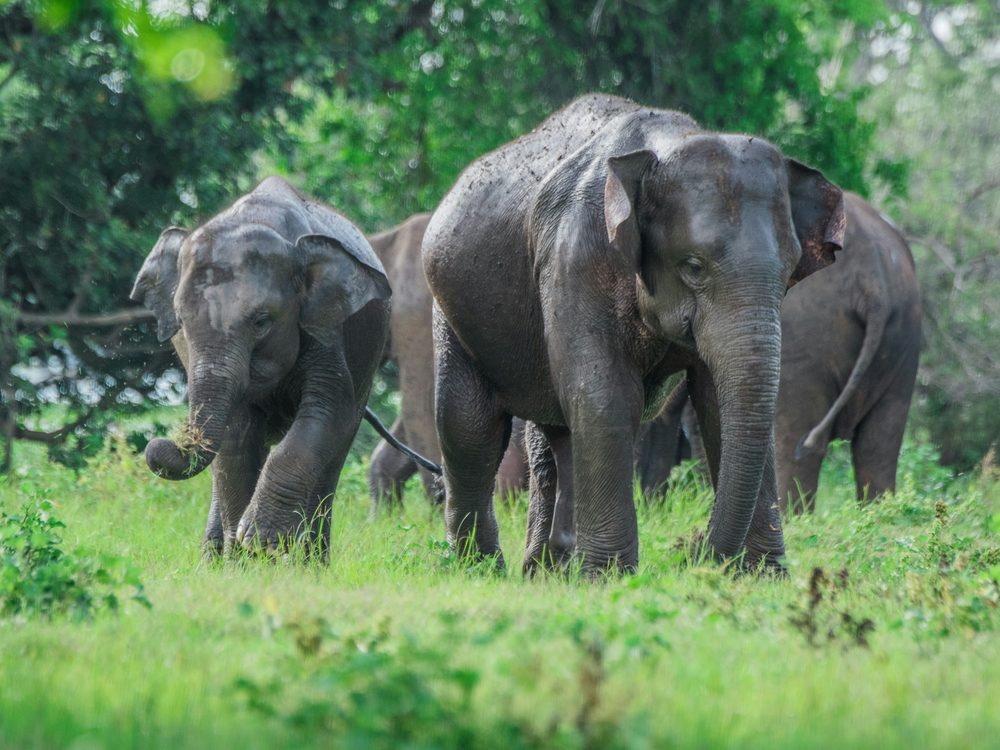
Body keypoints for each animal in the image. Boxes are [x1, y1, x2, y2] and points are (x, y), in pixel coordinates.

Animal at [131, 176, 395, 556]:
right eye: (181, 321)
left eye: (261, 321)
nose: (158, 444)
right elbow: (237, 437)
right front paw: (246, 555)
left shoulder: (326, 328)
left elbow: (328, 411)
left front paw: (262, 541)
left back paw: (309, 560)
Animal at [421, 94, 845, 575]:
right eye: (693, 266)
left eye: (789, 272)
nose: (693, 553)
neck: (667, 143)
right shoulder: (575, 256)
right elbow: (605, 394)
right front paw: (609, 577)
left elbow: (716, 402)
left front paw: (763, 576)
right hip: (451, 312)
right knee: (468, 428)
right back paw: (482, 569)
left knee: (552, 433)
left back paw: (547, 571)